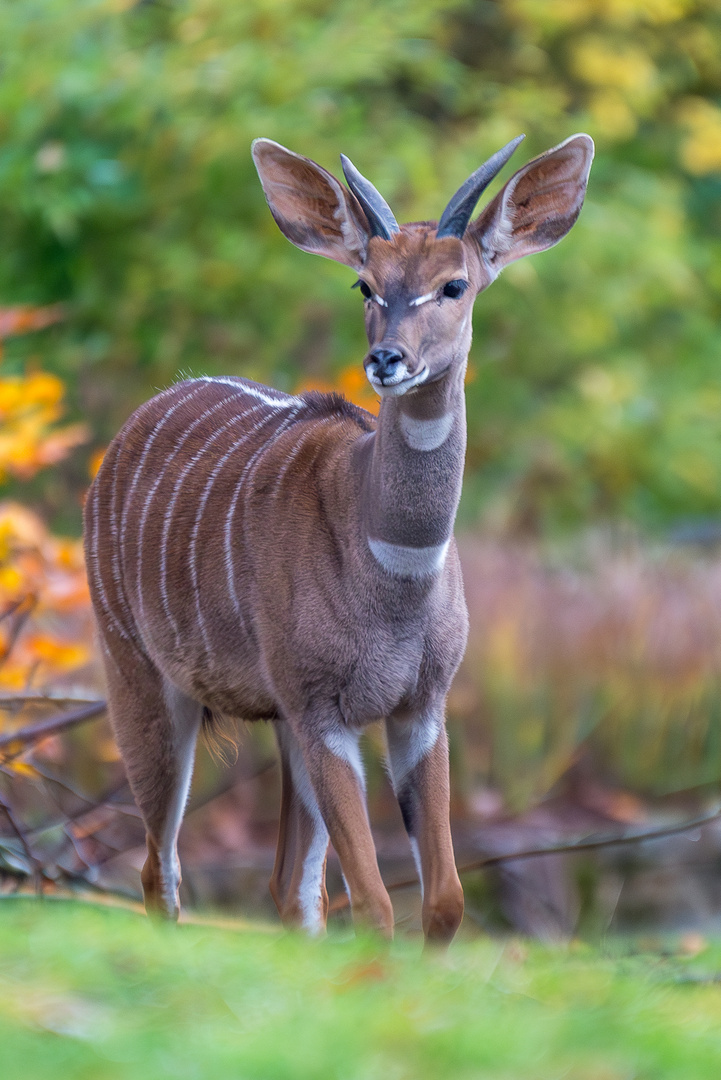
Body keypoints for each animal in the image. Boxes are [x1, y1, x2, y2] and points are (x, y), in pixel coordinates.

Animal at [84, 132, 591, 946]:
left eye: (454, 284)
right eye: (365, 284)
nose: (387, 359)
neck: (391, 574)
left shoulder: (418, 704)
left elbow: (442, 900)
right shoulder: (322, 706)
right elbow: (379, 906)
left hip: (280, 723)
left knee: (289, 886)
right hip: (138, 673)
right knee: (160, 869)